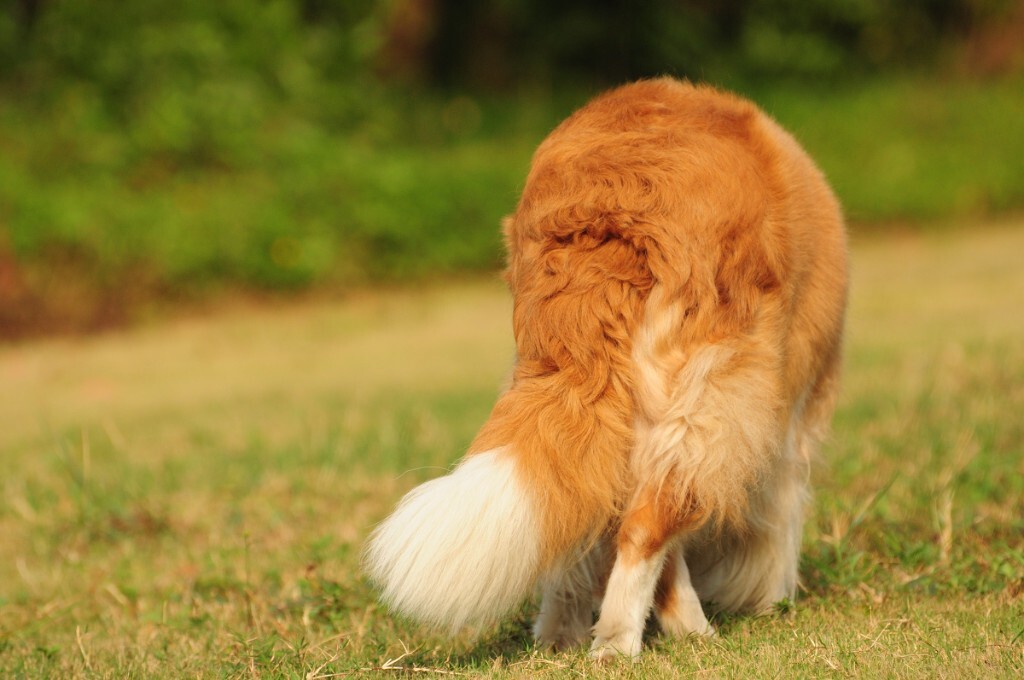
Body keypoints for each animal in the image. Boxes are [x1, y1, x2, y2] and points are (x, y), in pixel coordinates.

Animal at [366, 78, 847, 659]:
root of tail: (607, 199)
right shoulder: (788, 414)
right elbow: (780, 513)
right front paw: (771, 600)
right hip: (707, 396)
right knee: (648, 526)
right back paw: (637, 639)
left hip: (573, 383)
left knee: (593, 515)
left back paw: (565, 634)